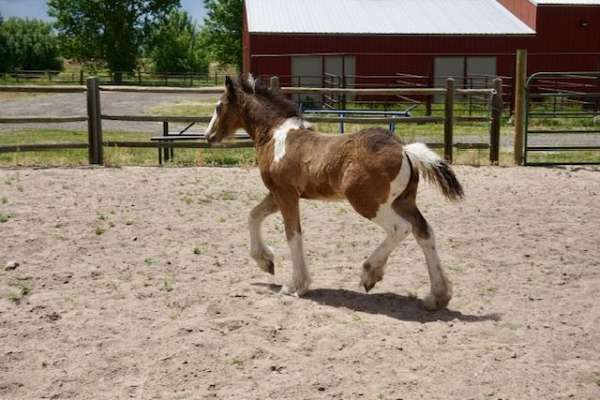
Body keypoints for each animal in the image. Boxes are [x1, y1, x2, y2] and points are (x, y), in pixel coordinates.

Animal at [206, 76, 464, 310]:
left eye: (219, 107)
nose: (208, 136)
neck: (275, 136)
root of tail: (404, 149)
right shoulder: (277, 194)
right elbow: (254, 215)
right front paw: (266, 262)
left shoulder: (286, 194)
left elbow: (292, 234)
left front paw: (297, 285)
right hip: (403, 201)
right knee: (424, 232)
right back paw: (437, 296)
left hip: (367, 203)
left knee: (400, 228)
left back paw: (370, 273)